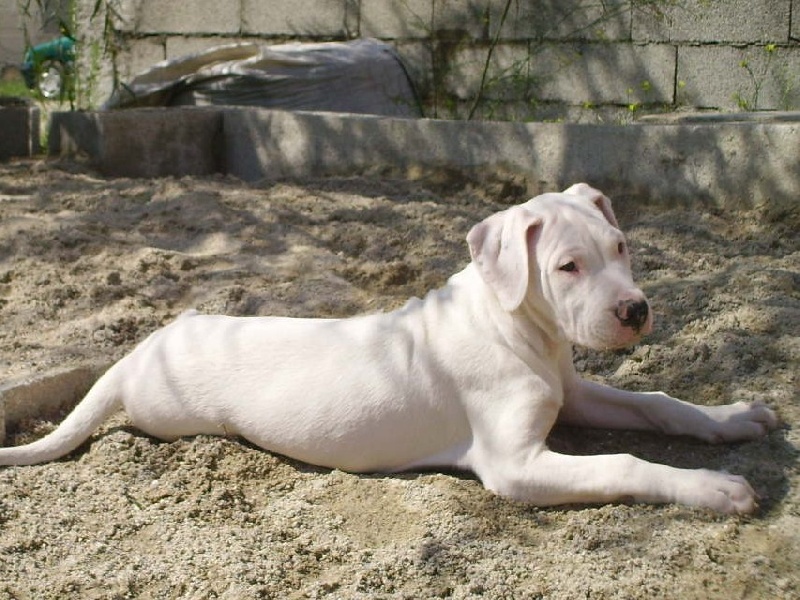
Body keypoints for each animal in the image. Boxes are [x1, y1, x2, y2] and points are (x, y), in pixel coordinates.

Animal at [0, 183, 778, 513]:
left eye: (620, 248)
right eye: (566, 267)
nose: (635, 310)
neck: (515, 325)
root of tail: (140, 351)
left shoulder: (574, 391)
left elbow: (656, 402)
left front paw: (732, 419)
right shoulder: (514, 465)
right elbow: (623, 460)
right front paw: (711, 488)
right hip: (166, 412)